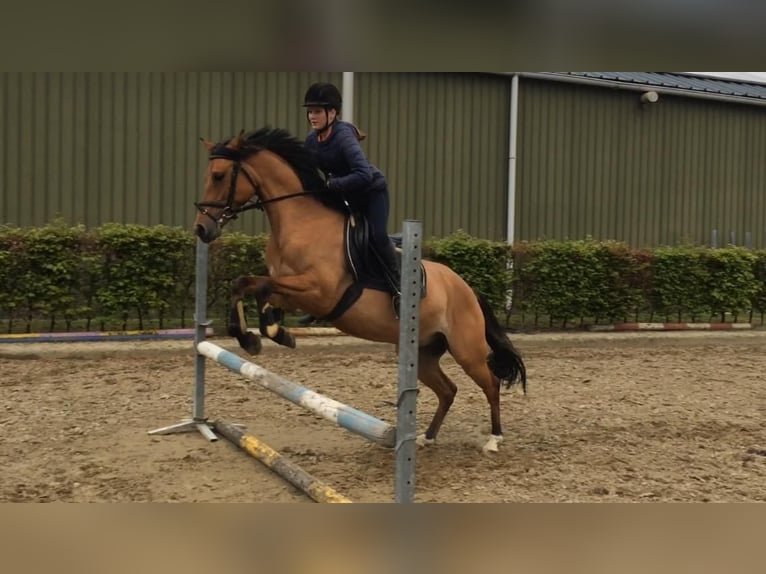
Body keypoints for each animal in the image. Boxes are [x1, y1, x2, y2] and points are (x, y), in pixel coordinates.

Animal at [194, 127, 528, 454]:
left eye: (219, 176)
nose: (201, 229)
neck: (300, 222)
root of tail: (467, 289)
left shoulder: (320, 293)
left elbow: (258, 286)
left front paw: (265, 334)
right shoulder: (293, 292)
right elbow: (249, 285)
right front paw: (262, 335)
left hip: (466, 350)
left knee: (490, 384)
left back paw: (493, 439)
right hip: (423, 353)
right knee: (448, 390)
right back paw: (427, 438)